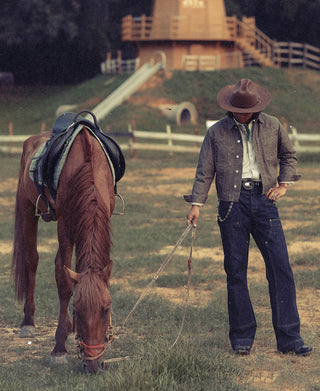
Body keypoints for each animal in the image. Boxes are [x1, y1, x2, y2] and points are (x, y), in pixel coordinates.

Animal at [10, 113, 122, 374]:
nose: (93, 365)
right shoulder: (65, 226)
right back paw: (28, 322)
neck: (87, 167)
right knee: (31, 261)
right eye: (77, 311)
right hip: (27, 210)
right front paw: (59, 348)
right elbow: (64, 282)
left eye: (106, 309)